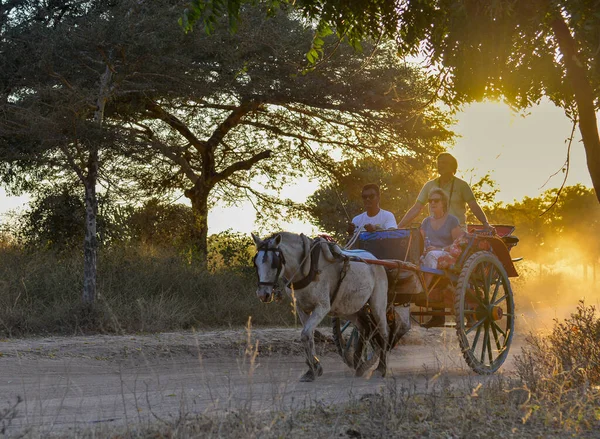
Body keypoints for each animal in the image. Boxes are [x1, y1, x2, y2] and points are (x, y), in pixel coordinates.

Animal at [252, 234, 390, 382]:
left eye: (275, 262)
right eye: (256, 263)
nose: (263, 294)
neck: (308, 266)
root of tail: (375, 260)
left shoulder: (322, 307)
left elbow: (306, 334)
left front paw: (314, 367)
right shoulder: (301, 307)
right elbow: (308, 335)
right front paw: (313, 368)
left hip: (377, 304)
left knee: (383, 332)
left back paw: (381, 368)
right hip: (348, 307)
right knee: (365, 328)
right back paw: (359, 365)